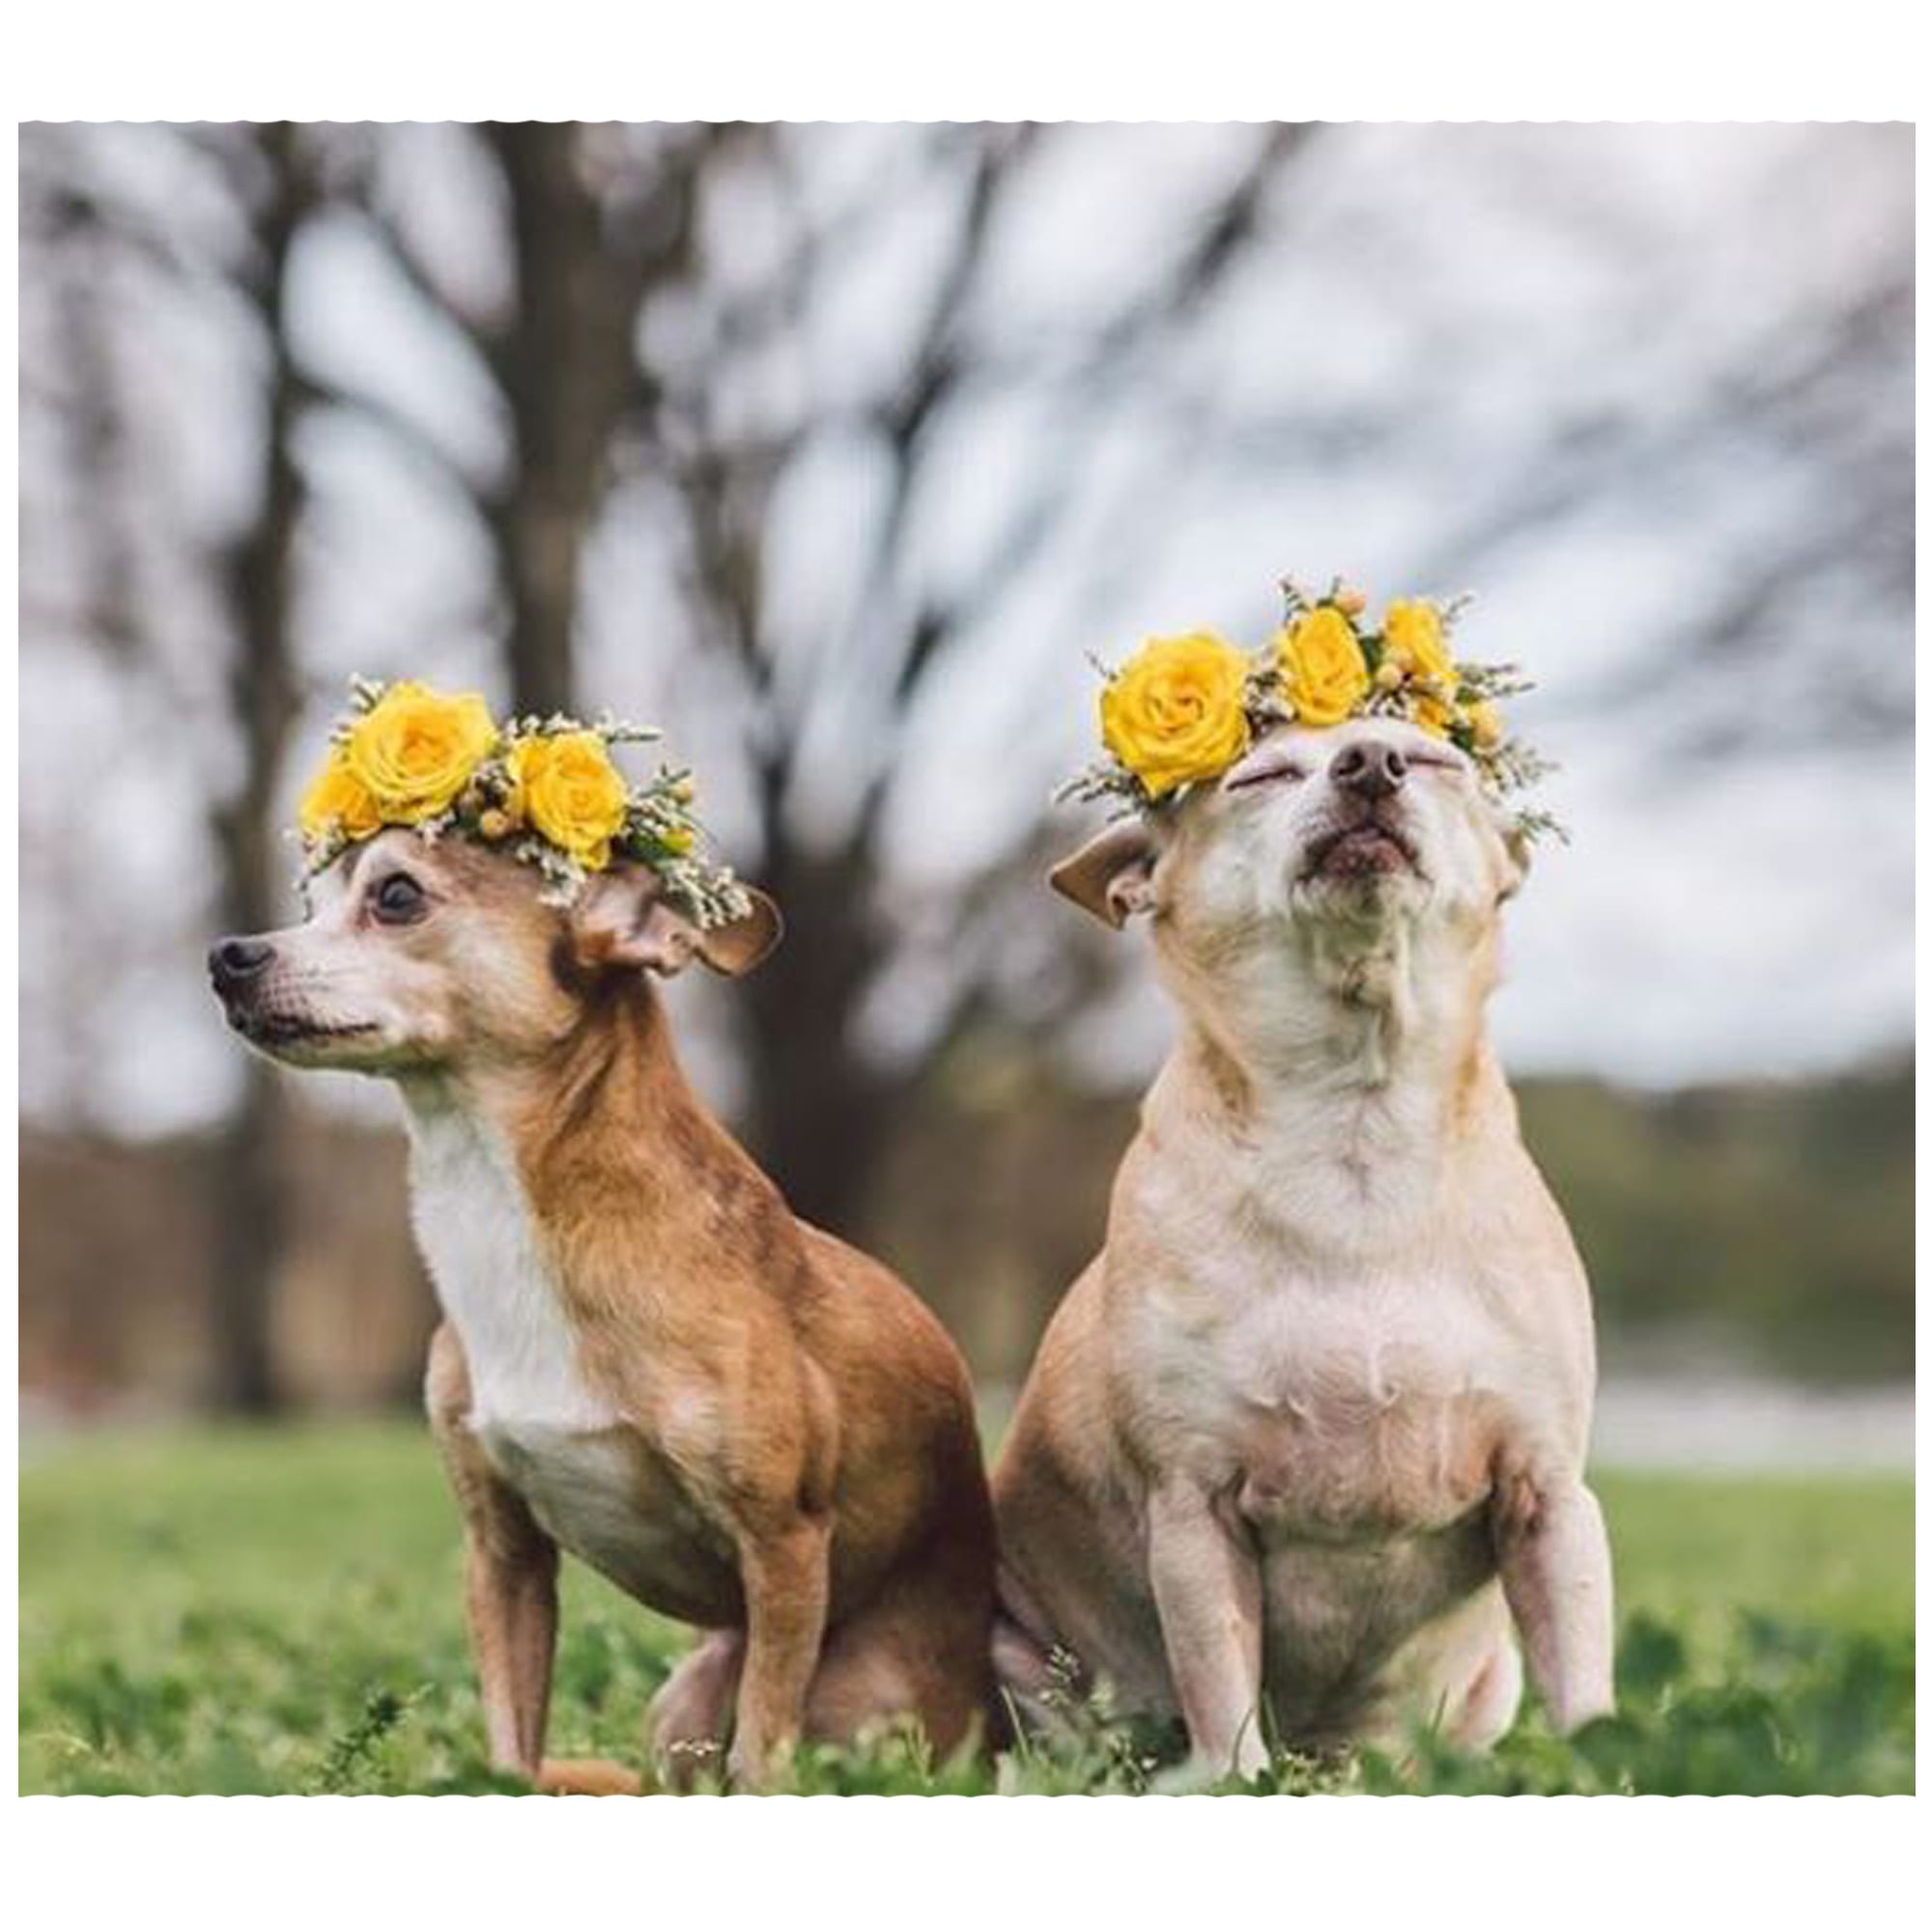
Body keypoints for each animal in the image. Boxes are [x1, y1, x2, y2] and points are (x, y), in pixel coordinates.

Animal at [212, 835, 997, 1793]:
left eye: (395, 897)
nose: (228, 955)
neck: (508, 1216)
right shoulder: (504, 1556)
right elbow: (512, 1746)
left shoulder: (784, 1543)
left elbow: (762, 1750)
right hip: (683, 1703)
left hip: (862, 1701)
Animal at [997, 719, 1615, 1770]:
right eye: (1264, 775)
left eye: (1435, 761)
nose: (1370, 764)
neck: (1353, 1126)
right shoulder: (1193, 1512)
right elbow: (1223, 1696)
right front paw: (1232, 1778)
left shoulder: (1549, 1500)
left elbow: (1582, 1689)